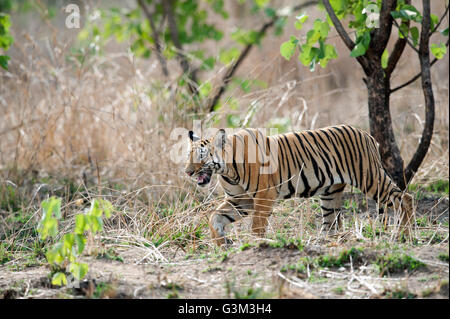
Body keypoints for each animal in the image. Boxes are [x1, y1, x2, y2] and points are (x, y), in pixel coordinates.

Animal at [185, 125, 414, 248]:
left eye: (201, 156)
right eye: (188, 156)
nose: (187, 172)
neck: (228, 170)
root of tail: (367, 135)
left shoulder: (263, 196)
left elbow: (257, 225)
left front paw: (256, 244)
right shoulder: (240, 200)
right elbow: (215, 217)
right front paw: (222, 243)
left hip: (371, 179)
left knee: (404, 198)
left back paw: (405, 234)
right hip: (330, 194)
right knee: (331, 223)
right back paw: (325, 243)